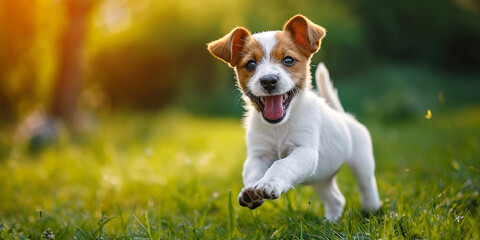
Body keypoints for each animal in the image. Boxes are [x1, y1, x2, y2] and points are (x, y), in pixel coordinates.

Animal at [208, 14, 380, 221]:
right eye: (250, 64)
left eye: (288, 60)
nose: (268, 81)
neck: (279, 126)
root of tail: (344, 115)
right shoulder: (258, 155)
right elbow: (252, 172)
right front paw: (250, 191)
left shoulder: (305, 150)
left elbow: (282, 163)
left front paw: (270, 182)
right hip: (320, 177)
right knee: (336, 199)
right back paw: (330, 222)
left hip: (362, 162)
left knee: (367, 186)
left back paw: (371, 211)